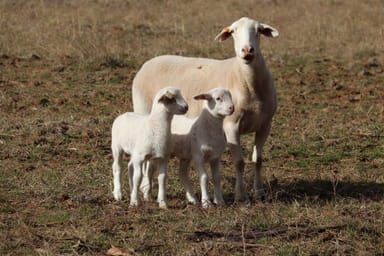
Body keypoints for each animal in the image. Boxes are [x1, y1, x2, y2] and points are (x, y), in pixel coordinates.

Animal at [132, 17, 280, 202]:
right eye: (233, 31)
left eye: (259, 30)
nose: (247, 50)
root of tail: (147, 64)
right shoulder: (231, 125)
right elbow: (239, 162)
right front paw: (240, 195)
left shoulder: (265, 124)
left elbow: (257, 160)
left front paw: (259, 192)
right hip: (144, 113)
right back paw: (146, 189)